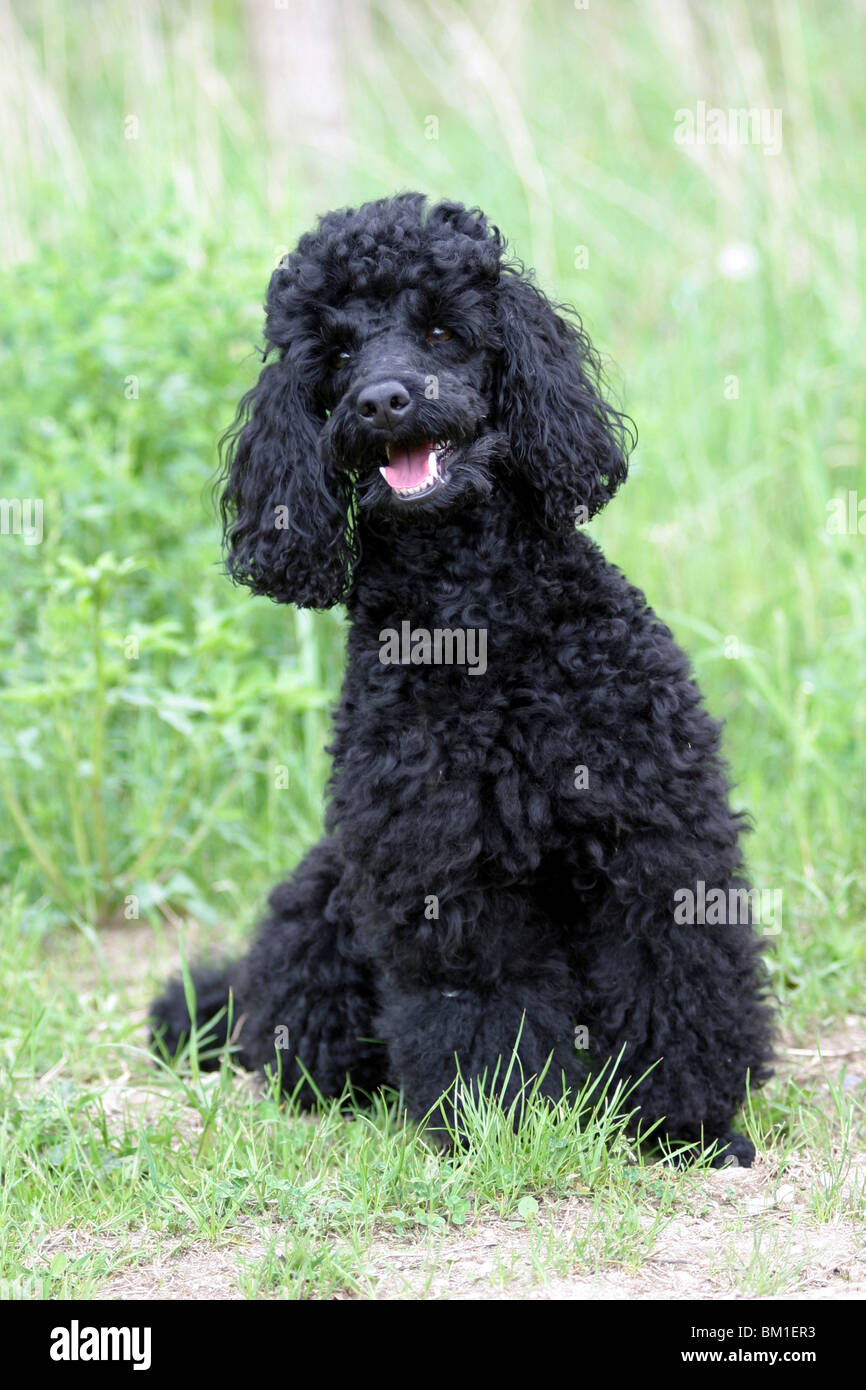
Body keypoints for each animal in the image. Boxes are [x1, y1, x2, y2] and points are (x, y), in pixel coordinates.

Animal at [152, 187, 778, 1162]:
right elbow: (482, 1010)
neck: (476, 625)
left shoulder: (654, 840)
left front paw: (685, 1123)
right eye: (336, 352)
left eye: (443, 329)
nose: (382, 400)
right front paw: (503, 1127)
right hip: (325, 901)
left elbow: (671, 983)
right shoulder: (445, 876)